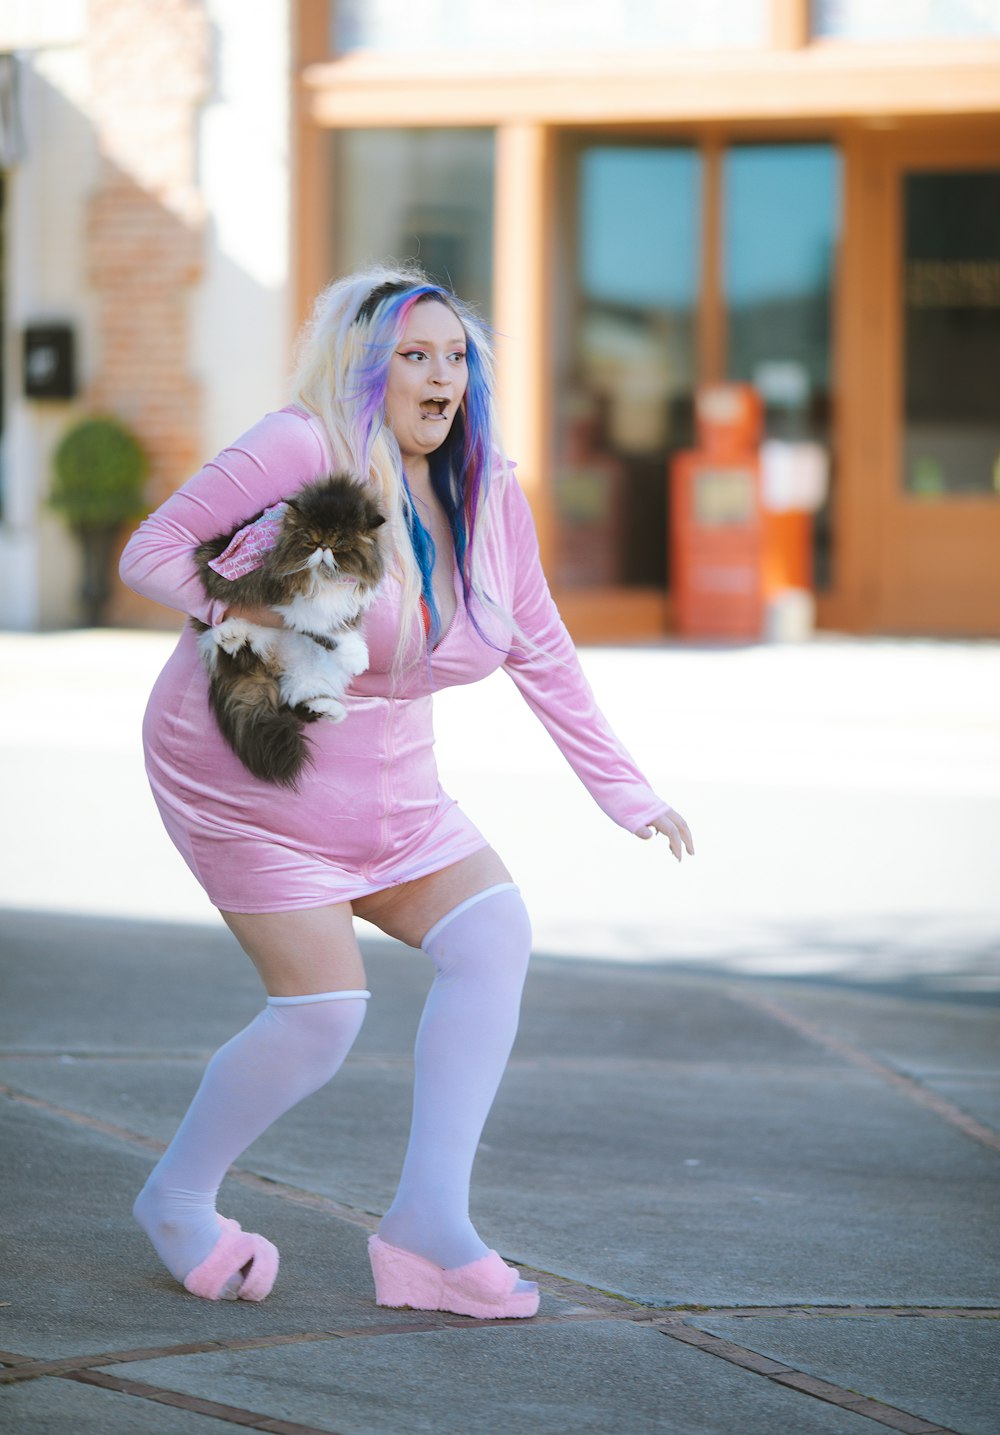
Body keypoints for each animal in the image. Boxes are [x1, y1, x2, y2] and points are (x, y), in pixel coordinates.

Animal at [192, 470, 387, 786]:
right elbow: (324, 621)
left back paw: (331, 711)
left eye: (340, 542)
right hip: (224, 633)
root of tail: (268, 666)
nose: (324, 548)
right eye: (312, 540)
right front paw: (357, 656)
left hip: (312, 674)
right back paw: (231, 635)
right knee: (228, 650)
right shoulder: (280, 592)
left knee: (294, 703)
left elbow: (344, 620)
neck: (325, 577)